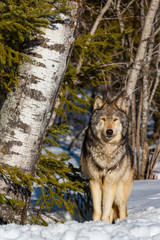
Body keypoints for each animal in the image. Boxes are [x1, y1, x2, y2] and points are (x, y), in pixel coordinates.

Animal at [80, 95, 134, 223]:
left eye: (115, 119)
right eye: (103, 119)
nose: (109, 131)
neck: (107, 150)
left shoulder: (110, 183)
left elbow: (106, 211)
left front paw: (103, 223)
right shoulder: (94, 181)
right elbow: (97, 210)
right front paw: (96, 224)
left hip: (119, 193)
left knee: (122, 209)